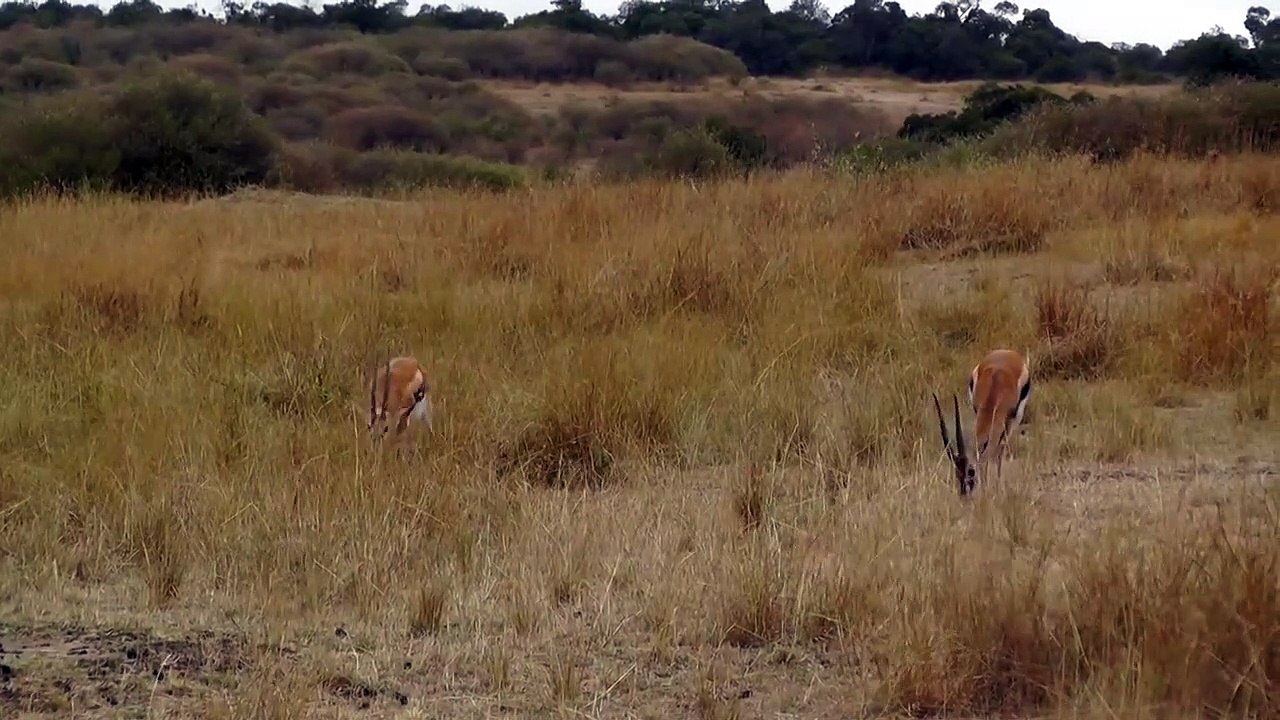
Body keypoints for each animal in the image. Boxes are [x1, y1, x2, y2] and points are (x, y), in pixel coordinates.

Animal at [933, 349, 1031, 496]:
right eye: (957, 472)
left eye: (970, 472)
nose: (964, 494)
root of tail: (1006, 352)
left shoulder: (1008, 421)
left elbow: (999, 450)